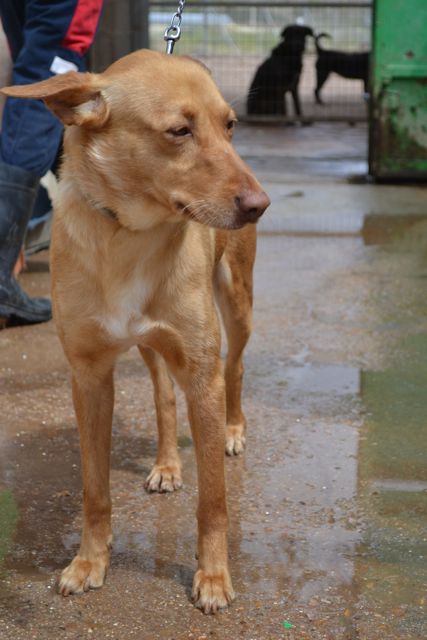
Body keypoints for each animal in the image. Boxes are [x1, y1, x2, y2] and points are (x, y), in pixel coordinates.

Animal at [2, 50, 270, 614]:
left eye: (229, 126)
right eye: (179, 131)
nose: (260, 204)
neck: (129, 235)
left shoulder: (202, 373)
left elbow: (214, 500)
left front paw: (213, 576)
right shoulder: (88, 377)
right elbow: (94, 489)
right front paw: (89, 562)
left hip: (237, 304)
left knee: (235, 367)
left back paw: (234, 430)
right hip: (151, 345)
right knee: (163, 396)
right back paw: (167, 464)